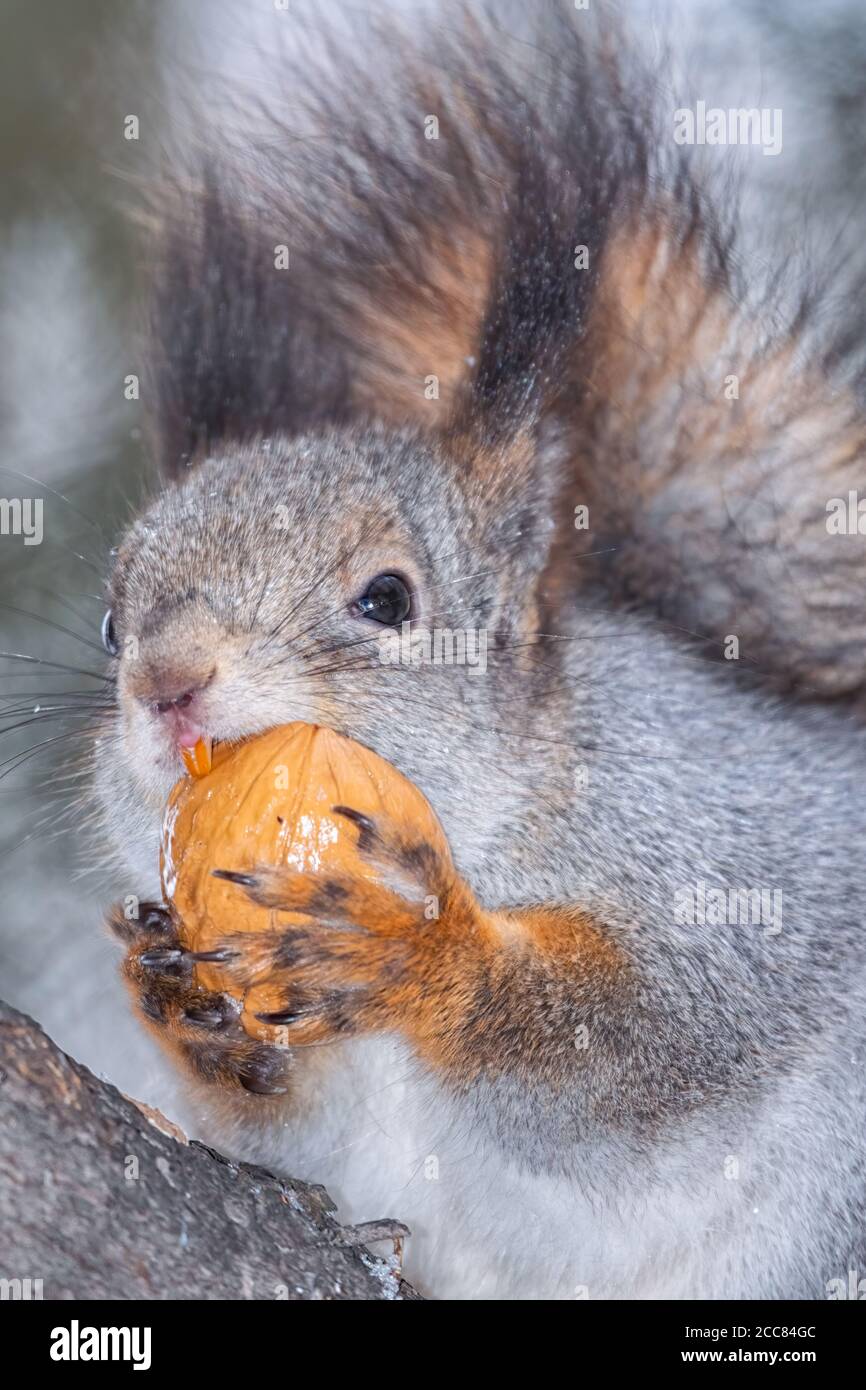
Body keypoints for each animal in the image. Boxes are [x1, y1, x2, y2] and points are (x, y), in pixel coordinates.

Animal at [94, 3, 866, 1298]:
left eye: (386, 598)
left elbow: (643, 1043)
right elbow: (280, 1126)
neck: (511, 806)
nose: (165, 682)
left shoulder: (729, 873)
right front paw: (183, 1001)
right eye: (109, 623)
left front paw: (420, 950)